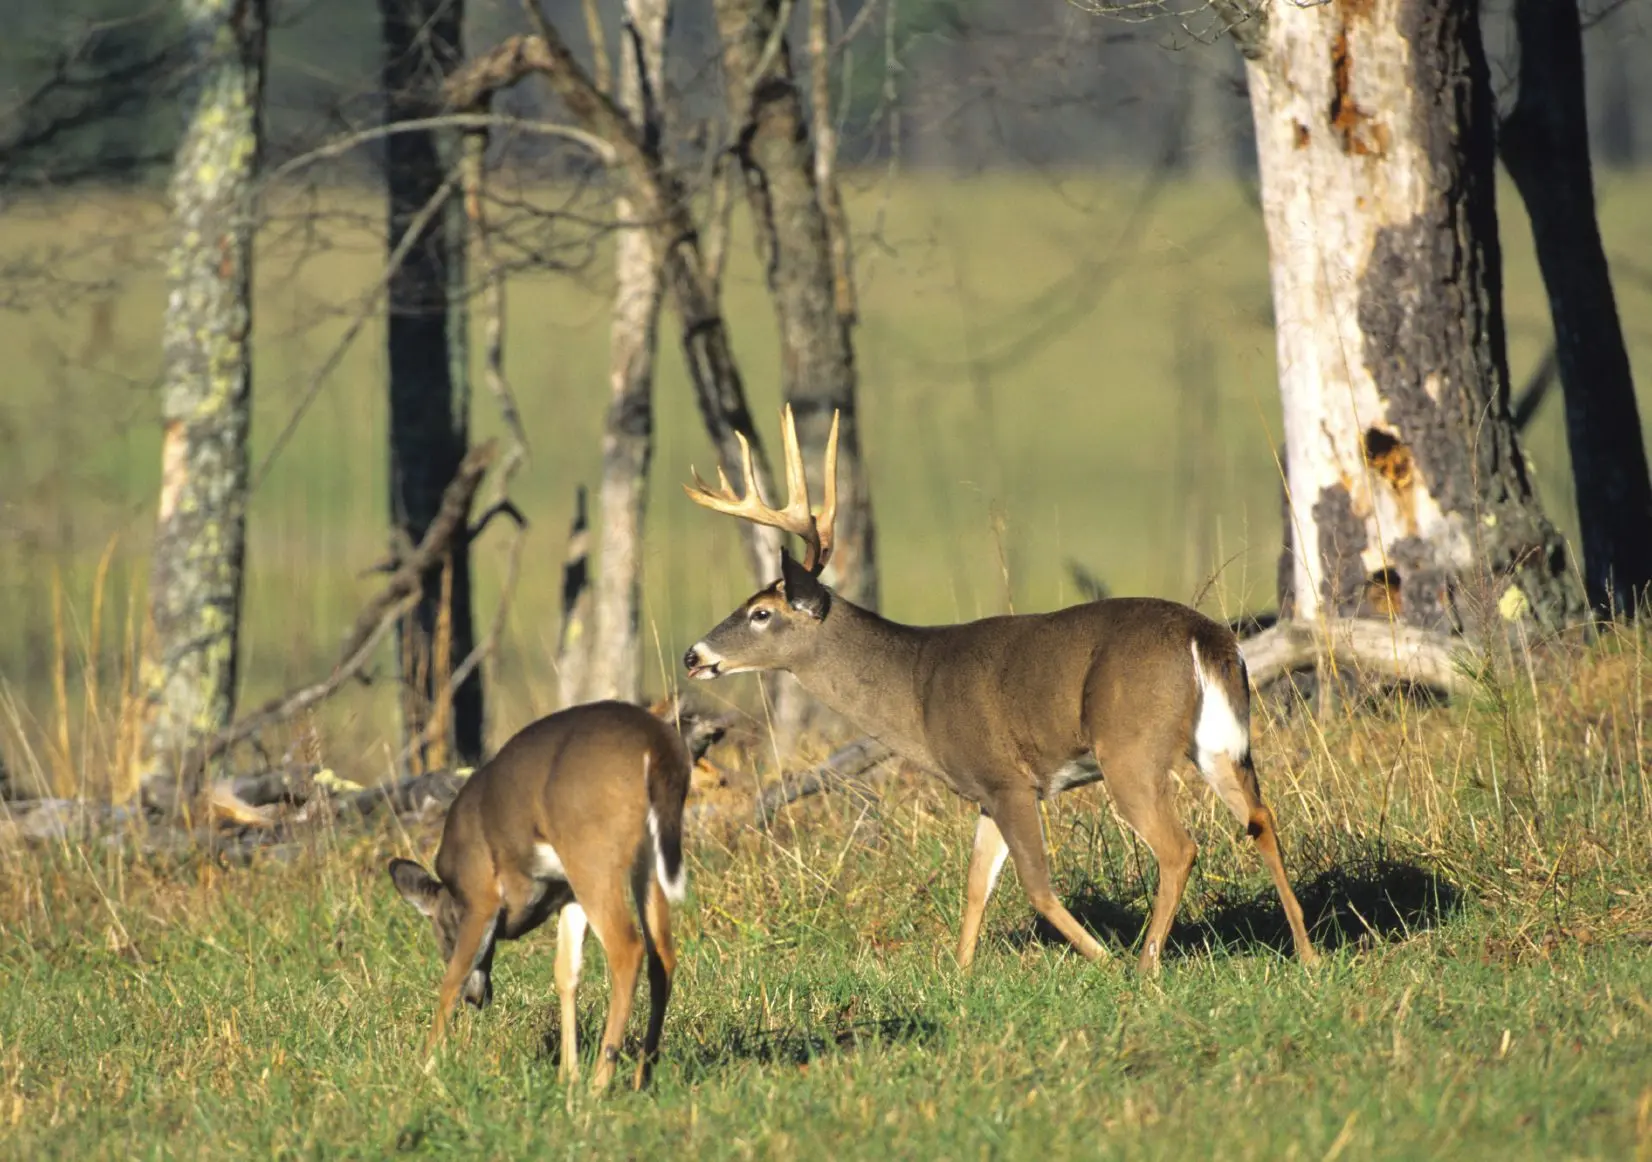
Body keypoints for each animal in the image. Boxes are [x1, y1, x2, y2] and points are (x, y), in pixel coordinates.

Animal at [387, 697, 720, 1091]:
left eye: (445, 937)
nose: (478, 998)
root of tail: (656, 746)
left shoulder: (481, 894)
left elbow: (452, 979)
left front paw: (422, 1069)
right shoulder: (567, 894)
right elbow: (565, 973)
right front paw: (567, 1075)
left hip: (592, 854)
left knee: (628, 948)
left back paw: (600, 1084)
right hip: (645, 860)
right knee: (662, 954)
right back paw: (641, 1077)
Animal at [679, 406, 1318, 975]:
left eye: (761, 613)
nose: (694, 656)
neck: (916, 688)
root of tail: (1205, 637)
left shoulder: (1009, 779)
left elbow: (1034, 885)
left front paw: (1101, 959)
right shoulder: (985, 791)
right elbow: (976, 885)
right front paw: (959, 977)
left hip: (1129, 748)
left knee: (1178, 847)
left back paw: (1143, 966)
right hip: (1220, 742)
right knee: (1261, 819)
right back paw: (1307, 955)